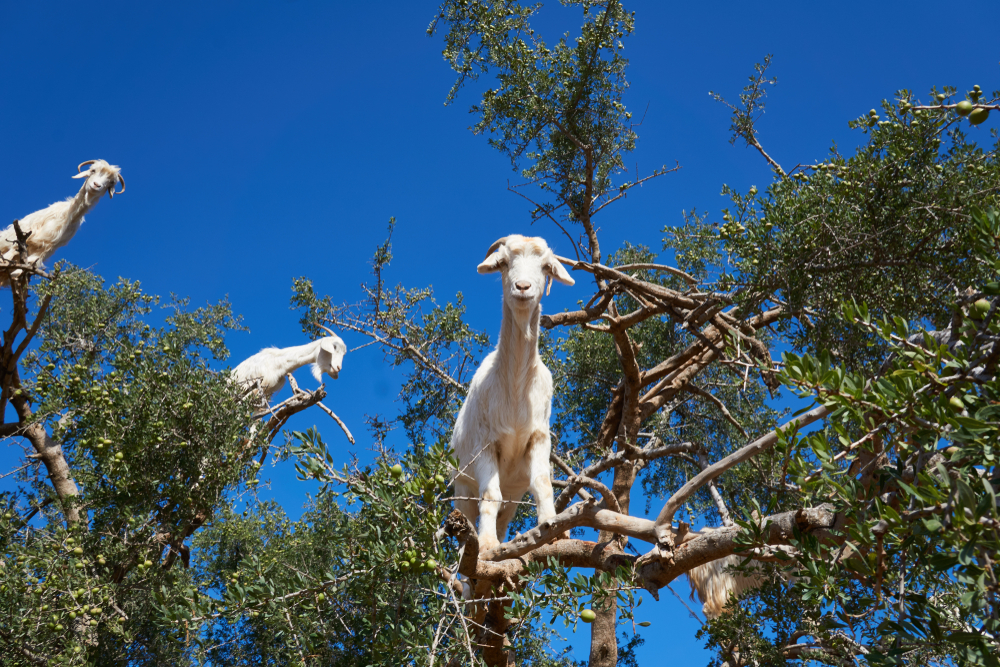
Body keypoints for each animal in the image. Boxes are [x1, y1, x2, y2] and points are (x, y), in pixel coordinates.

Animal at [451, 235, 575, 553]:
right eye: (504, 262)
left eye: (546, 266)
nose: (522, 287)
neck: (517, 389)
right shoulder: (485, 444)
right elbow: (489, 495)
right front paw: (486, 544)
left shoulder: (539, 437)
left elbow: (543, 484)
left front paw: (554, 529)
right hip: (462, 488)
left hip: (513, 498)